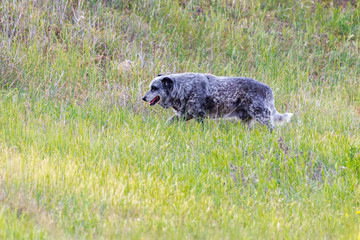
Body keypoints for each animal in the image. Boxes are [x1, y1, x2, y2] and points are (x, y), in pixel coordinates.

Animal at [141, 72, 292, 130]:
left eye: (154, 88)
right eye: (150, 87)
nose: (143, 98)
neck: (183, 88)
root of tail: (268, 89)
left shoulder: (199, 116)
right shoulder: (184, 115)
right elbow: (169, 121)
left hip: (262, 116)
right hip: (246, 120)